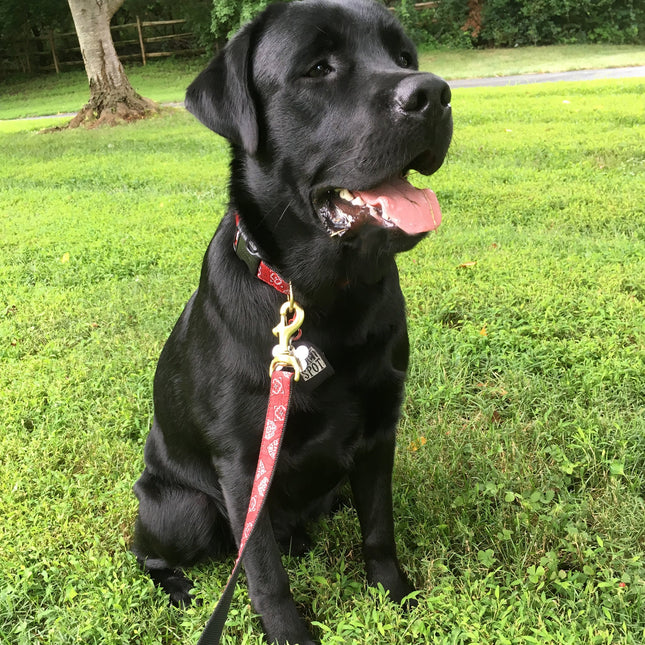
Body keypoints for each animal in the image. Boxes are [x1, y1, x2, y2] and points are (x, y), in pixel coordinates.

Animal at [133, 2, 450, 640]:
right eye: (318, 67)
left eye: (404, 57)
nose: (433, 93)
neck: (323, 297)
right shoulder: (243, 462)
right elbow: (262, 572)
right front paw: (289, 634)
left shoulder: (379, 430)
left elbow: (379, 530)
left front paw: (396, 596)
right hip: (182, 508)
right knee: (151, 553)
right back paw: (178, 586)